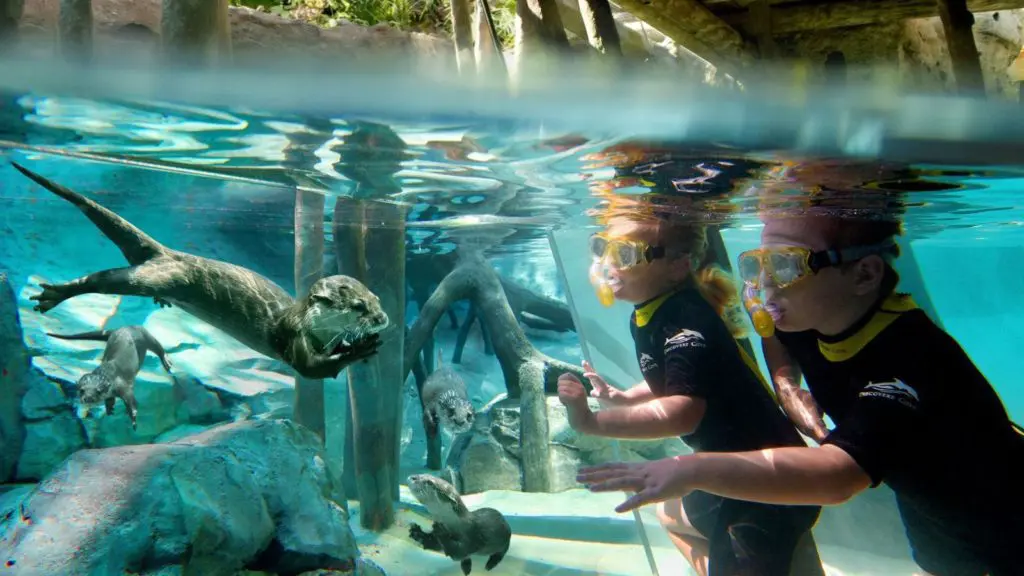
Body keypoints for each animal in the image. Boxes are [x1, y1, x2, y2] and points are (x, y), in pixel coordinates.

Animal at [12, 161, 389, 380]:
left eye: (377, 299)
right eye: (359, 306)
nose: (383, 319)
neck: (308, 324)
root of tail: (168, 252)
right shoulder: (292, 338)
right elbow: (310, 370)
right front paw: (358, 350)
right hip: (158, 276)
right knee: (110, 279)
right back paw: (56, 293)